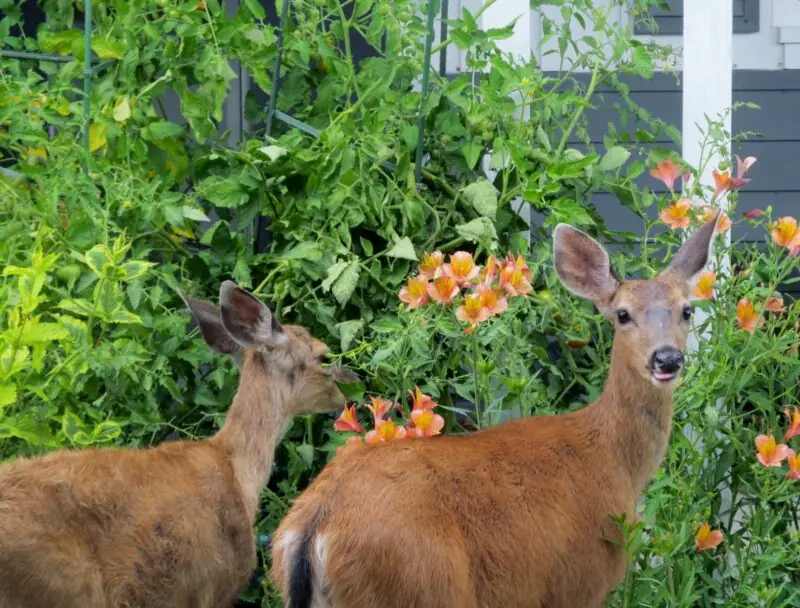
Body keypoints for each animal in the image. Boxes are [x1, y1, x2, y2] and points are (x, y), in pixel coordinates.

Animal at [272, 214, 720, 608]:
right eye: (622, 314)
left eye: (686, 310)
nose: (667, 358)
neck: (614, 460)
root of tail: (314, 528)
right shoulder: (580, 581)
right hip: (423, 587)